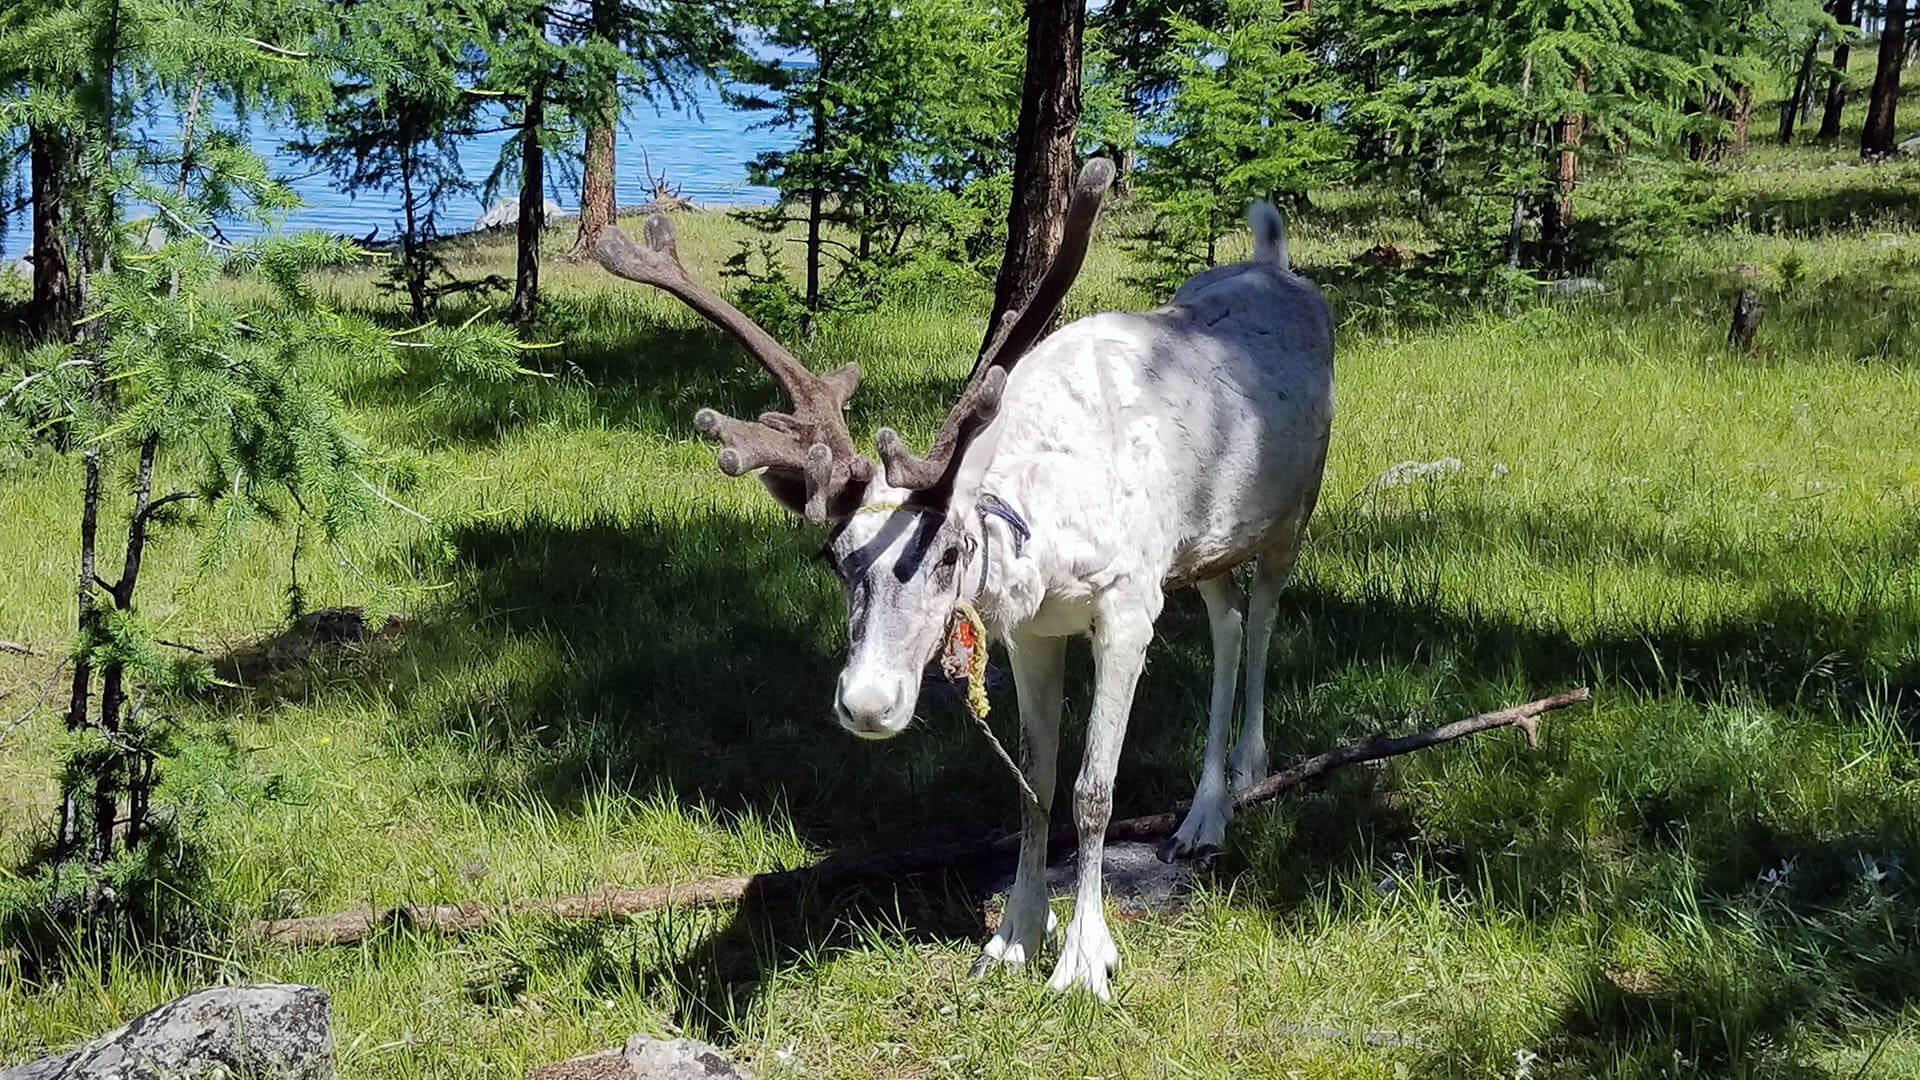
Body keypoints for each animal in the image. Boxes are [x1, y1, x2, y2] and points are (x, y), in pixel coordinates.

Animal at [595, 159, 1334, 999]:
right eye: (833, 556)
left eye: (949, 552)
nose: (867, 703)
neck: (1047, 530)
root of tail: (1278, 263)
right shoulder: (1035, 631)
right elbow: (1034, 784)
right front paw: (1013, 936)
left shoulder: (1127, 606)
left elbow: (1092, 791)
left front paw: (1085, 961)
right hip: (1207, 542)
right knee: (1227, 621)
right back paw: (1202, 815)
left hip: (1291, 512)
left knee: (1264, 617)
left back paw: (1241, 780)